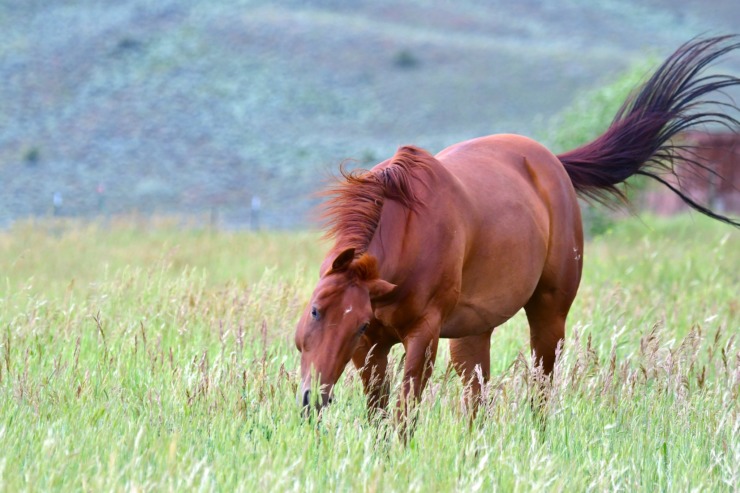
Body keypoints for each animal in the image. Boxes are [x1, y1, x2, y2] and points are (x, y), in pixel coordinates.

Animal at [294, 36, 740, 418]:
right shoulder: (371, 347)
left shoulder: (421, 337)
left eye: (354, 321)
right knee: (477, 401)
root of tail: (553, 162)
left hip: (548, 313)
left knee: (541, 388)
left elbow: (404, 414)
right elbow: (380, 415)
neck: (408, 236)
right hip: (472, 332)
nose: (312, 398)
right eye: (316, 310)